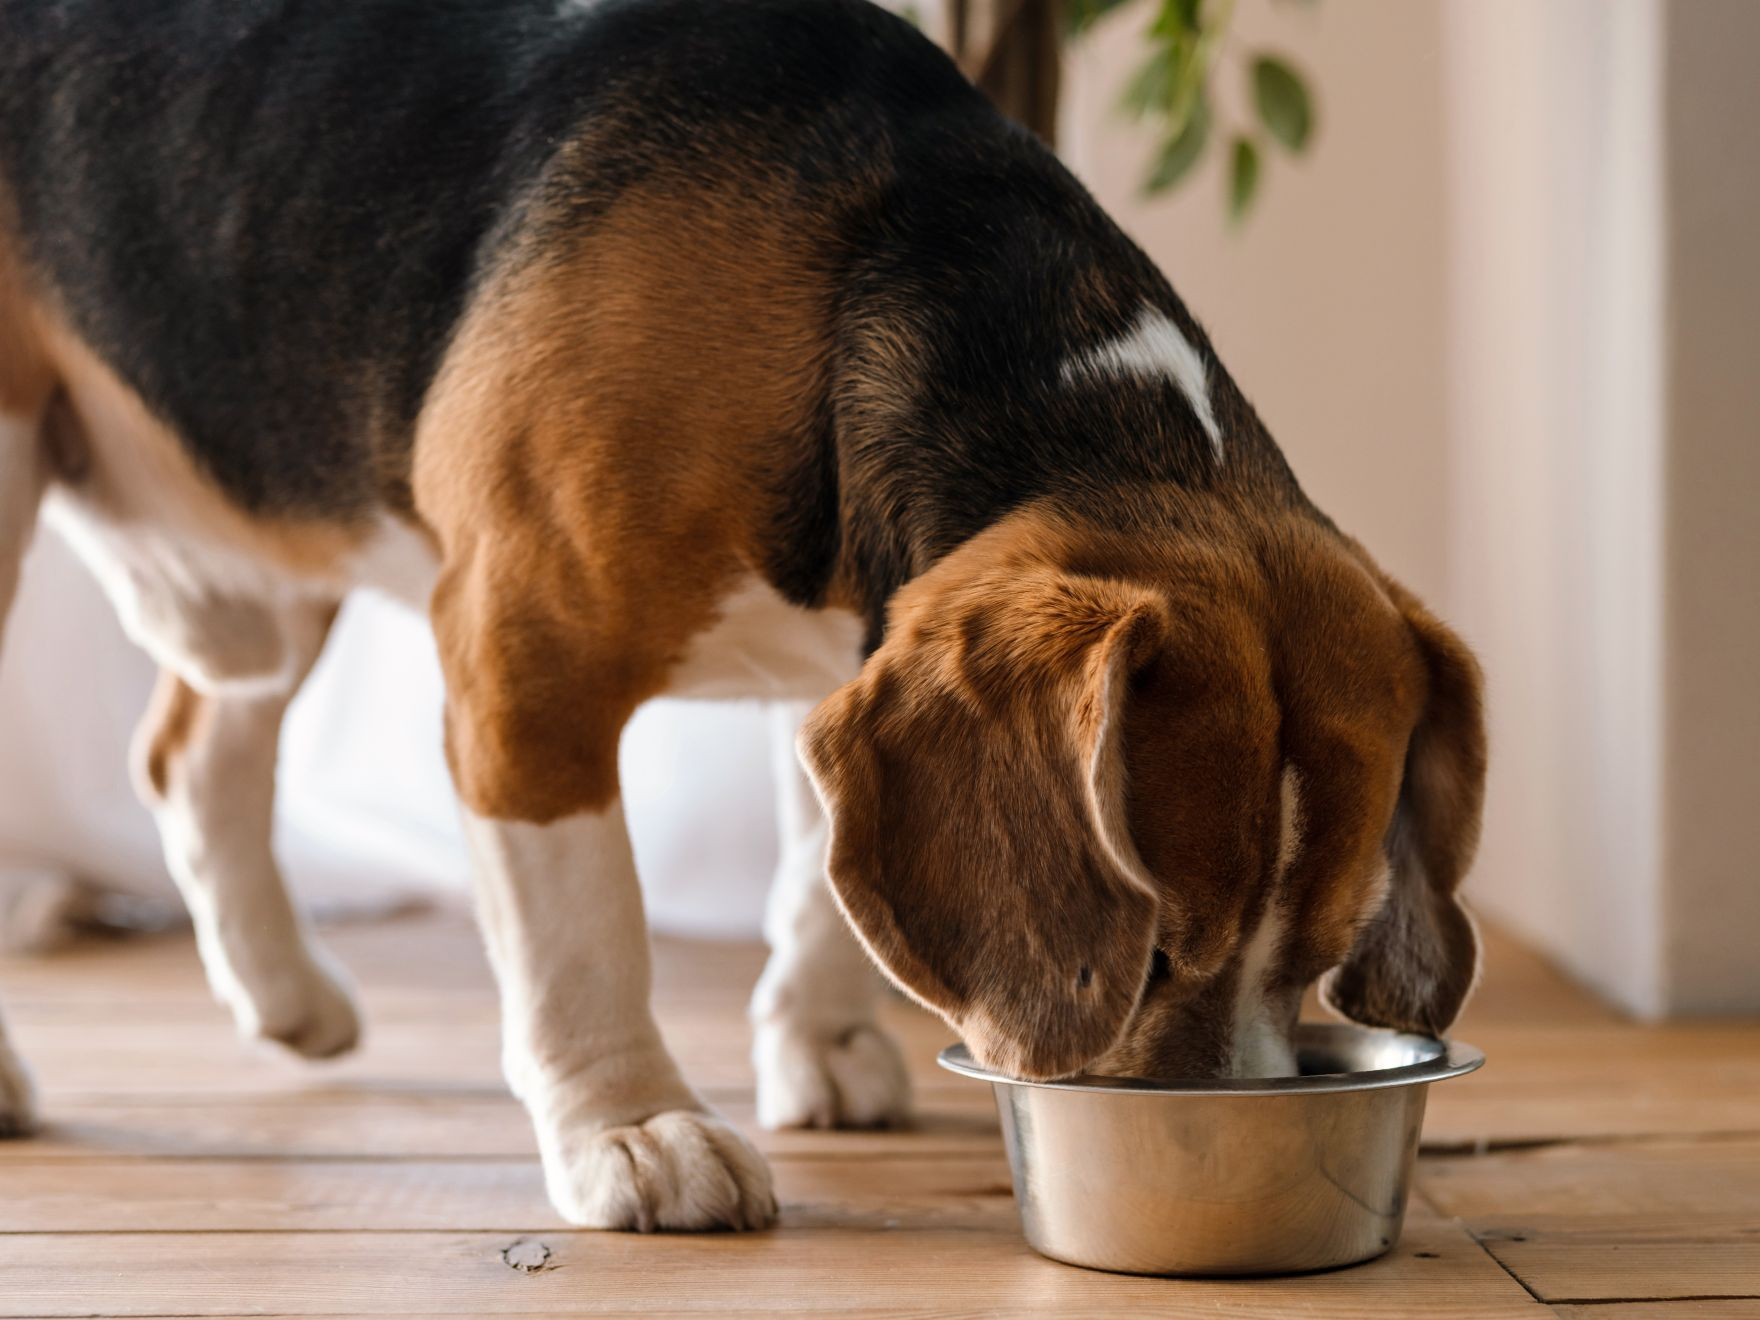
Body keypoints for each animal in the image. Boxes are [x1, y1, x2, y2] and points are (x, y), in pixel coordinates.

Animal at [0, 0, 1485, 1239]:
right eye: (1156, 950)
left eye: (1322, 954)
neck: (858, 286)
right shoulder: (523, 659)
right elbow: (587, 927)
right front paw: (633, 1129)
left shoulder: (850, 665)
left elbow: (823, 882)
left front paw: (816, 1043)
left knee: (189, 752)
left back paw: (285, 997)